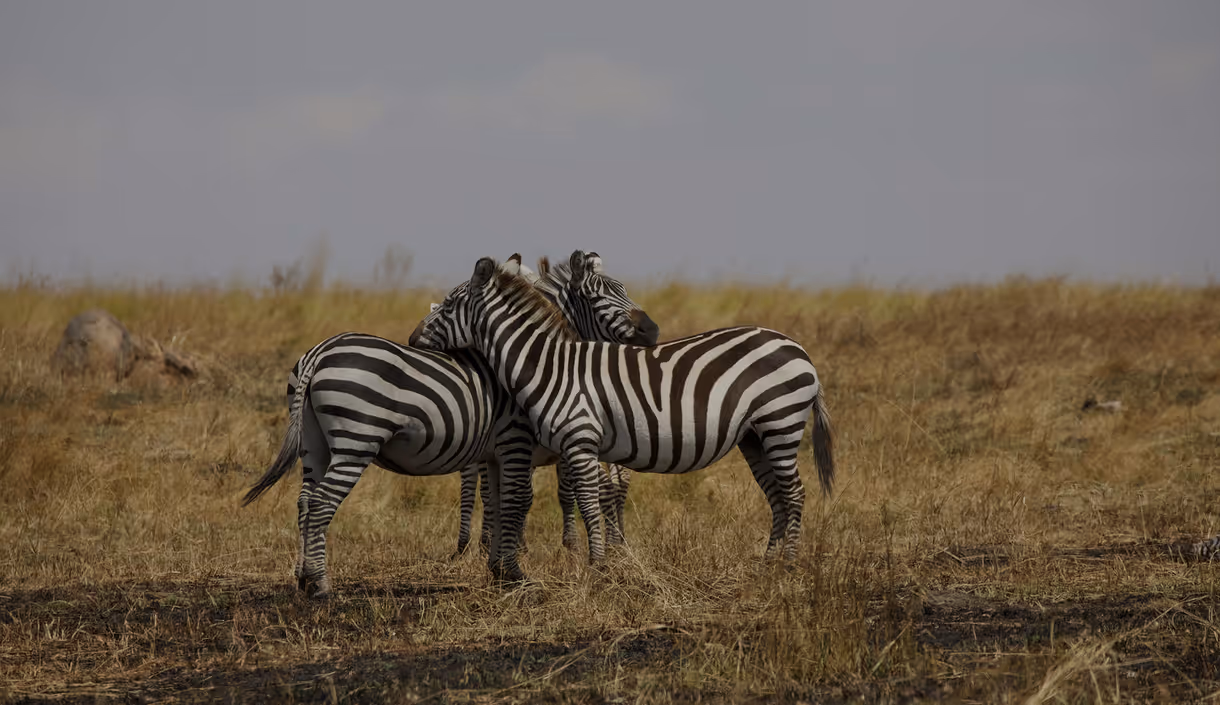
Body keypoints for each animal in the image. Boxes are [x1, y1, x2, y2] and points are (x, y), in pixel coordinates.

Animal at [243, 253, 657, 597]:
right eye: (598, 297)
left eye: (624, 290)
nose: (653, 332)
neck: (540, 359)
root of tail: (319, 351)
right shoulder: (518, 438)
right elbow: (527, 499)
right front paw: (520, 570)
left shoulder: (498, 450)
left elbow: (501, 501)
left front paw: (501, 567)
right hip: (355, 440)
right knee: (322, 503)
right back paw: (322, 585)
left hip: (314, 444)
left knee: (304, 501)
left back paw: (302, 577)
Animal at [409, 253, 836, 581]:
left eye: (448, 305)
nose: (412, 340)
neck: (550, 365)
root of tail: (798, 348)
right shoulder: (580, 446)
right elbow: (587, 495)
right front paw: (601, 557)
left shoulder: (579, 441)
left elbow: (587, 499)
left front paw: (596, 564)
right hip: (755, 437)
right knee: (777, 495)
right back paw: (768, 565)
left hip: (780, 423)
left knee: (793, 493)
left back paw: (789, 565)